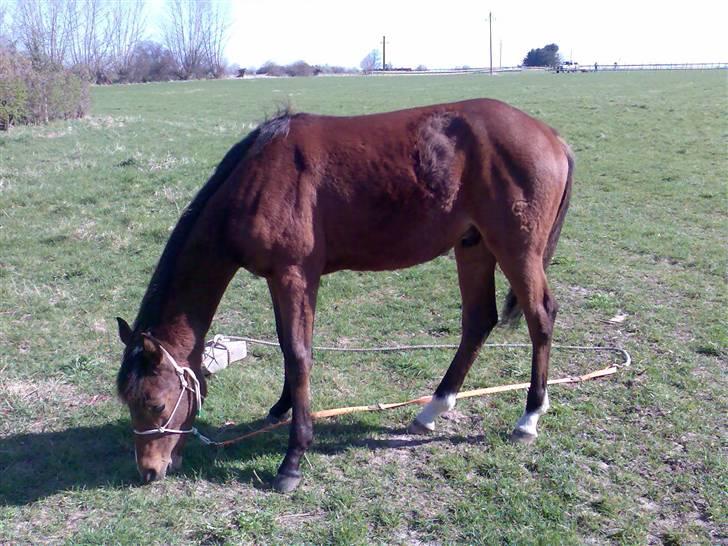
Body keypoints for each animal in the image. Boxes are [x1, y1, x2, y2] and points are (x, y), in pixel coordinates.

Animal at [116, 96, 576, 488]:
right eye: (129, 402)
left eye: (156, 404)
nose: (149, 470)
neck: (261, 175)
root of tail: (551, 136)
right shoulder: (278, 277)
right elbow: (286, 345)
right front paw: (280, 409)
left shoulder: (295, 275)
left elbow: (299, 354)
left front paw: (293, 458)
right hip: (473, 246)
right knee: (479, 321)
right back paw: (432, 409)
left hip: (516, 249)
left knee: (541, 317)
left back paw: (529, 417)